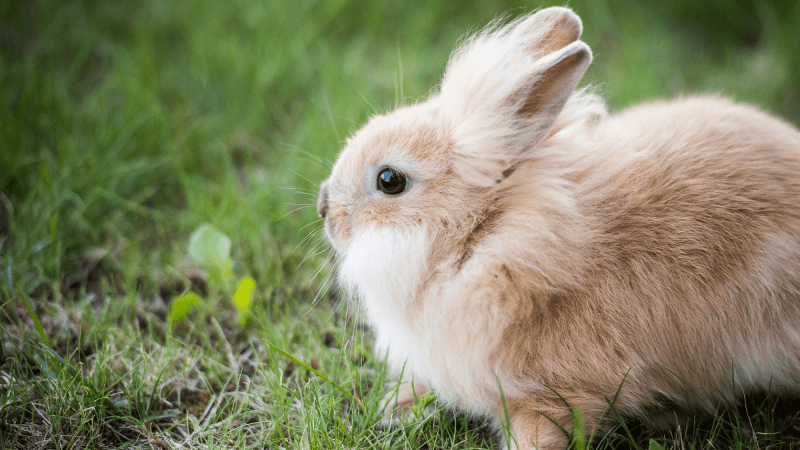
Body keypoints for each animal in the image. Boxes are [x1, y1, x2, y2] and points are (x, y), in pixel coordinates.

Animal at [316, 4, 800, 450]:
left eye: (390, 180)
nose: (323, 207)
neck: (486, 238)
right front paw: (395, 407)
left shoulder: (555, 394)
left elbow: (539, 433)